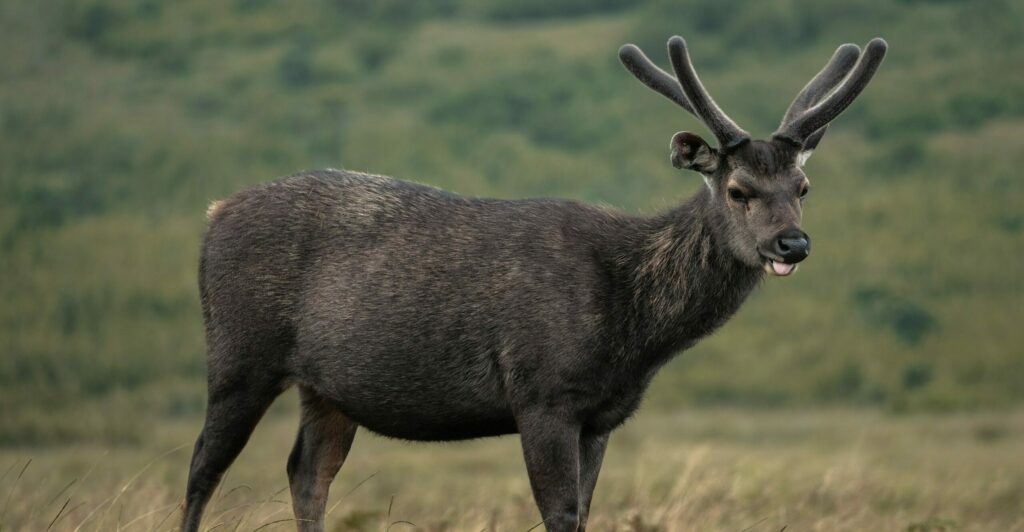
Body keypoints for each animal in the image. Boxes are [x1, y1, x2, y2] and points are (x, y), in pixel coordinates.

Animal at [181, 35, 887, 532]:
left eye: (802, 187)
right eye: (739, 190)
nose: (792, 243)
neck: (634, 330)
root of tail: (213, 213)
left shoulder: (601, 415)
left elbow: (586, 511)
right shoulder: (542, 393)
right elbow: (561, 515)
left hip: (327, 389)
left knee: (306, 474)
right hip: (240, 354)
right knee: (202, 465)